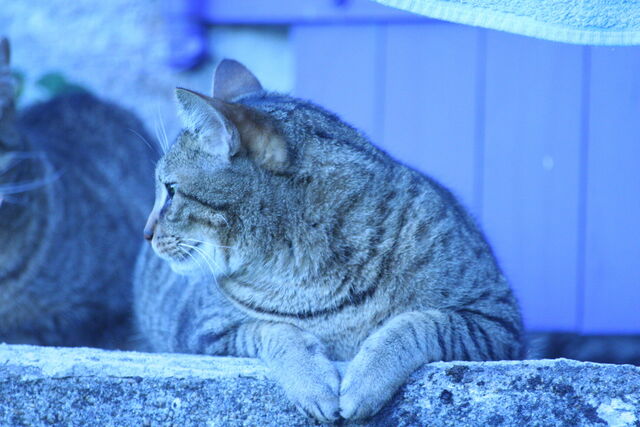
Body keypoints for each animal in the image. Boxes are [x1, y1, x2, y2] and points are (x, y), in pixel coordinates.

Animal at [134, 59, 524, 422]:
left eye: (170, 191)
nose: (146, 232)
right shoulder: (203, 333)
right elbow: (274, 329)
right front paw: (313, 382)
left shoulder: (497, 322)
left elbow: (418, 324)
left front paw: (366, 379)